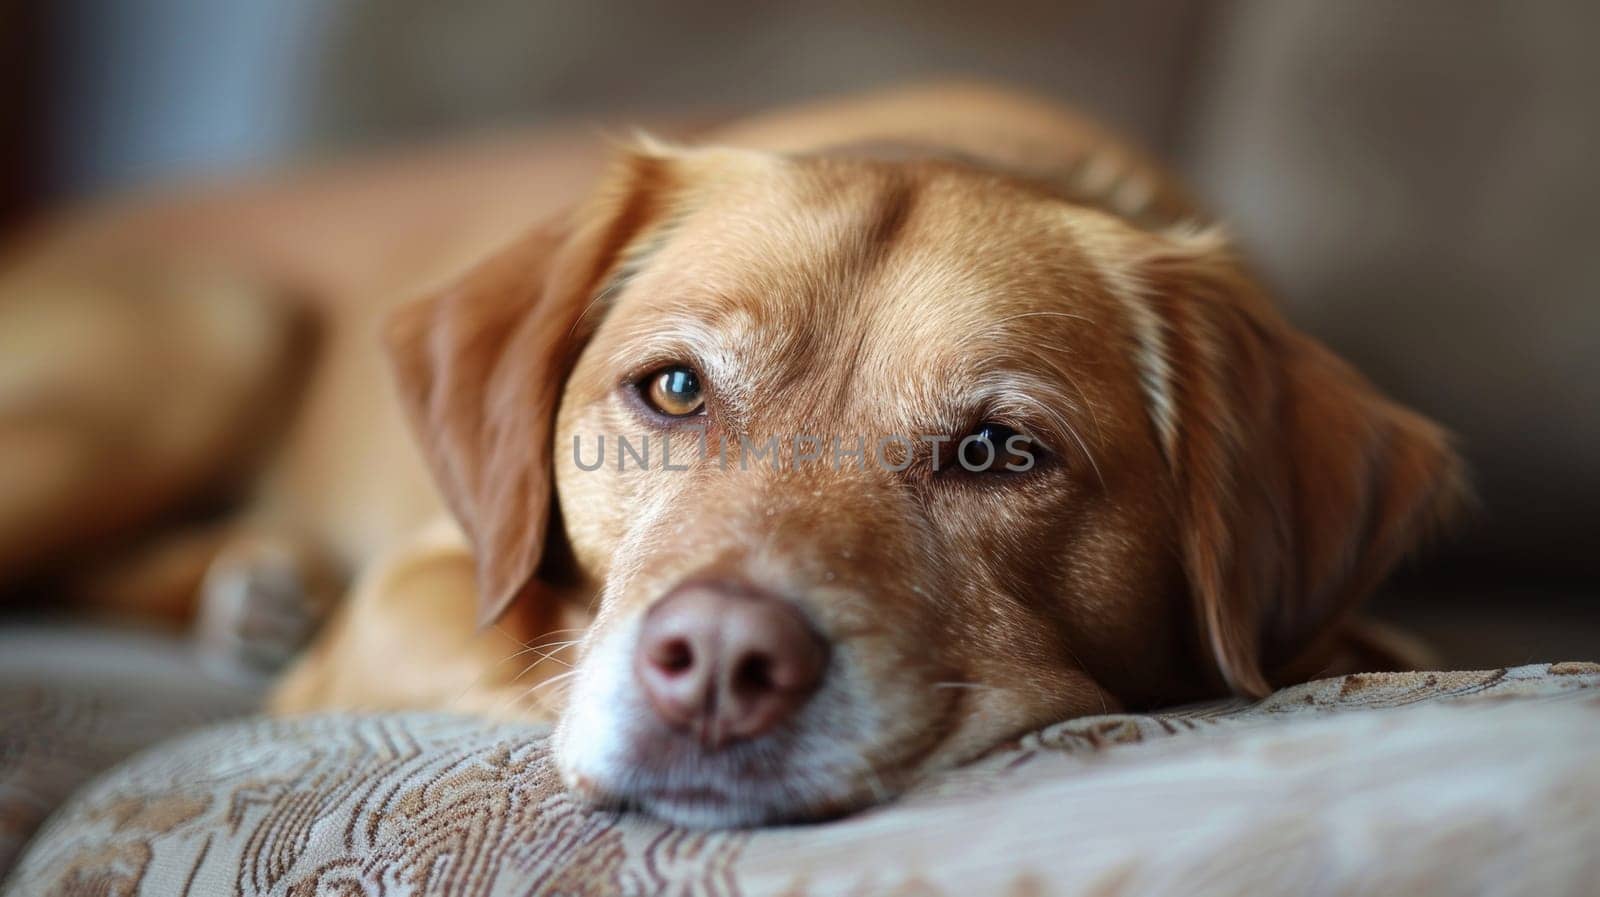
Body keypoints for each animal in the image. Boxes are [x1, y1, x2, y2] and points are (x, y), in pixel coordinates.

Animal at [0, 83, 1465, 825]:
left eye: (998, 451)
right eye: (672, 390)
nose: (715, 665)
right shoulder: (418, 593)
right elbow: (527, 639)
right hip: (216, 334)